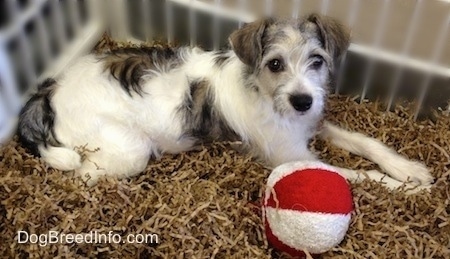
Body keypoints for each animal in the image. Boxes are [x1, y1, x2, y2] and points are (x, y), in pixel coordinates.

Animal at [18, 13, 436, 191]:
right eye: (275, 64)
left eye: (317, 61)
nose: (302, 100)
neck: (267, 94)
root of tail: (48, 91)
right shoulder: (292, 157)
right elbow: (350, 173)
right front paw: (400, 185)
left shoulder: (311, 124)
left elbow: (366, 142)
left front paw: (409, 170)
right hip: (128, 151)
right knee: (85, 173)